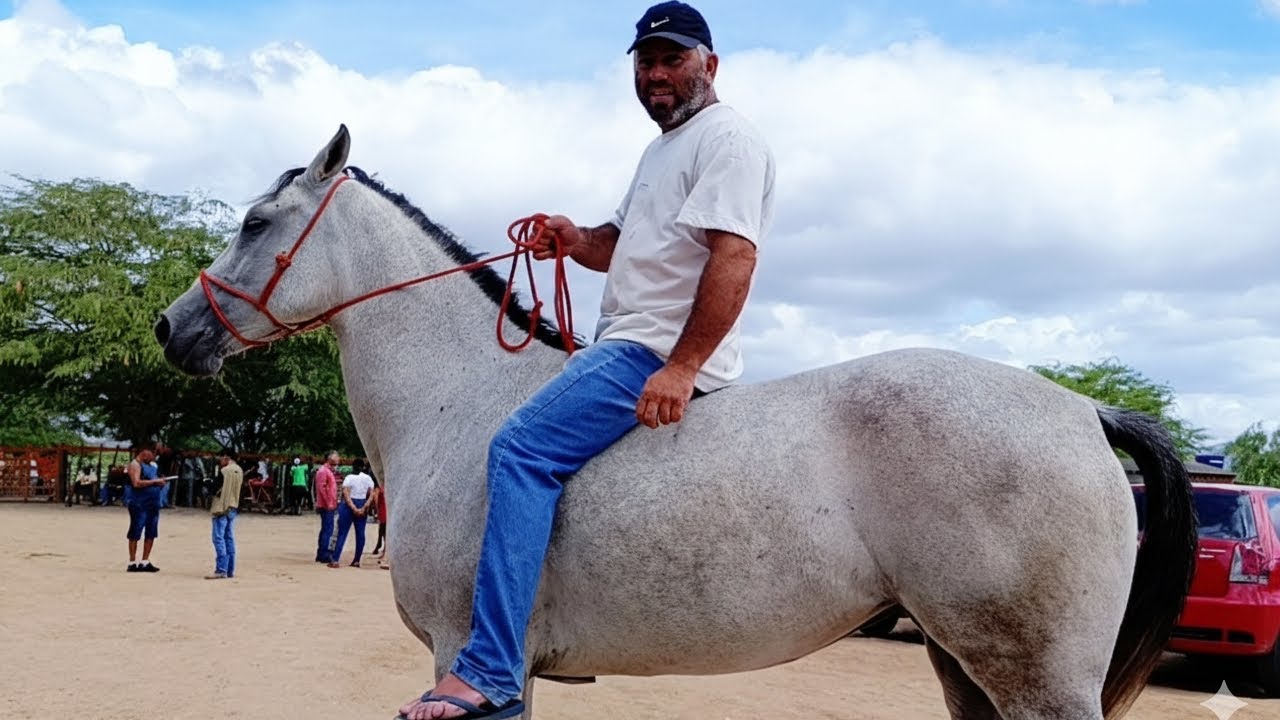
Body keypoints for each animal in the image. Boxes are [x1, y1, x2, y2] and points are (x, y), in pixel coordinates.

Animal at [155, 125, 1195, 719]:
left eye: (254, 223)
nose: (172, 327)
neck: (457, 403)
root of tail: (1082, 410)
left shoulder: (467, 654)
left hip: (1035, 675)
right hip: (965, 666)